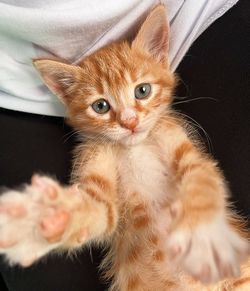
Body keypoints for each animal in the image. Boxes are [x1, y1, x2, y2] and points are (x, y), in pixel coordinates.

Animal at [0, 4, 250, 291]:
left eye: (142, 91)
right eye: (100, 106)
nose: (129, 122)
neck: (134, 147)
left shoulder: (185, 148)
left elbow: (200, 182)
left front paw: (202, 234)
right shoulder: (97, 166)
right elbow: (97, 208)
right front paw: (49, 215)